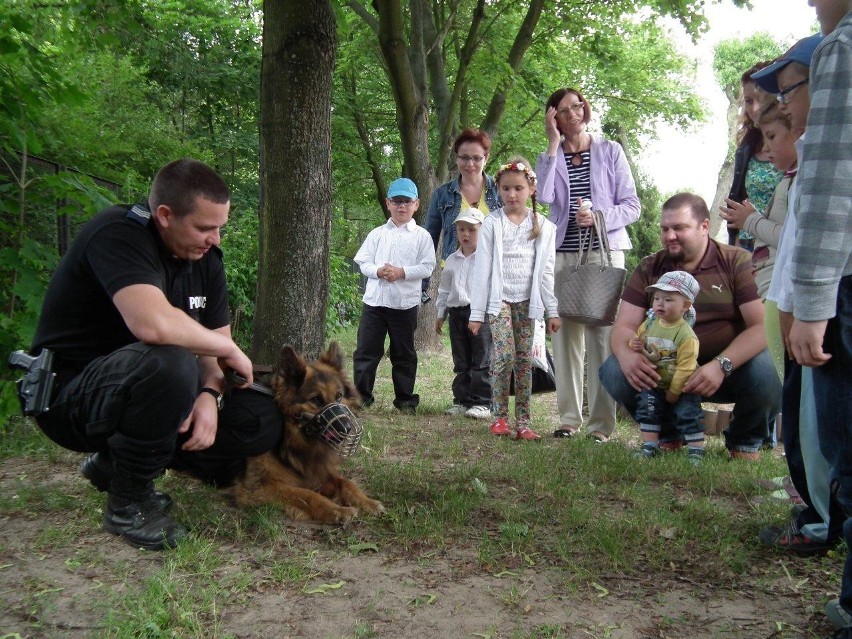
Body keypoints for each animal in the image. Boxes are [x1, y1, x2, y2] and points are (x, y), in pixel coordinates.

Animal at [228, 344, 384, 524]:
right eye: (316, 399)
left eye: (339, 396)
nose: (347, 428)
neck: (290, 438)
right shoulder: (260, 487)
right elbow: (307, 494)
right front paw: (337, 510)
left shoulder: (317, 473)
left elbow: (345, 482)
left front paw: (367, 502)